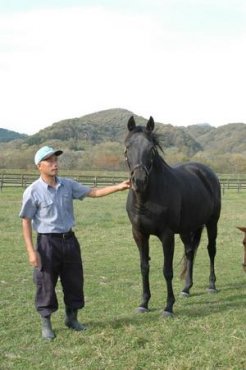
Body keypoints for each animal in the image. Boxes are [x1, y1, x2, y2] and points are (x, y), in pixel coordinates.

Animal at [125, 115, 221, 316]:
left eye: (151, 149)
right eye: (128, 147)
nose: (139, 181)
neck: (146, 198)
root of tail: (205, 172)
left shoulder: (167, 235)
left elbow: (167, 270)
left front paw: (168, 306)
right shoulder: (139, 234)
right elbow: (144, 267)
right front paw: (144, 303)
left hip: (212, 223)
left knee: (211, 250)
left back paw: (211, 285)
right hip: (188, 229)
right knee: (190, 252)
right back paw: (186, 288)